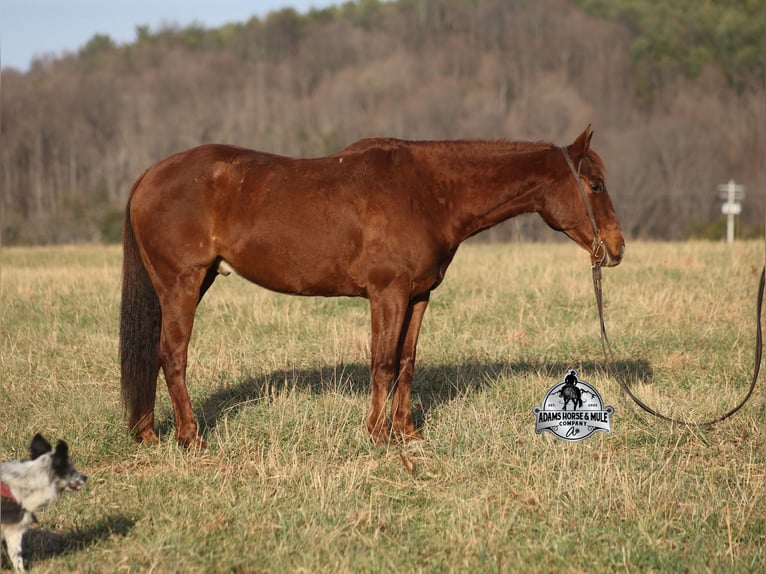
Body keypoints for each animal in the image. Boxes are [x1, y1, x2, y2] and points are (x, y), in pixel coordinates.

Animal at [120, 125, 624, 449]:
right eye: (595, 185)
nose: (617, 248)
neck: (427, 191)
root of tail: (148, 176)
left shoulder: (418, 296)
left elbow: (406, 361)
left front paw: (408, 433)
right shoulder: (388, 293)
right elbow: (382, 364)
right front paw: (378, 435)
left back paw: (149, 432)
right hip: (182, 285)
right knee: (172, 356)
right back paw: (191, 438)